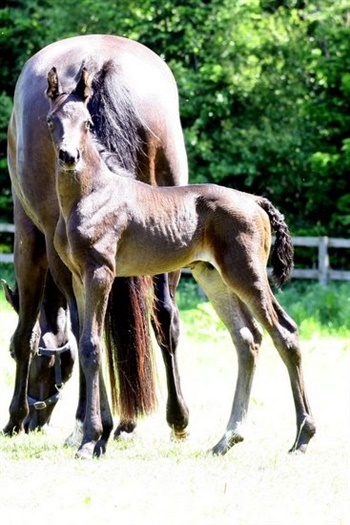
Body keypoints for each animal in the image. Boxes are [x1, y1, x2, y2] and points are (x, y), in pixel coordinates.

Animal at [3, 34, 189, 442]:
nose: (34, 421)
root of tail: (103, 59)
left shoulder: (30, 242)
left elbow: (27, 333)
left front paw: (16, 416)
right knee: (165, 315)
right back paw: (176, 418)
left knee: (83, 322)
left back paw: (93, 423)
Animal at [43, 66, 314, 458]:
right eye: (52, 121)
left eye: (88, 122)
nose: (68, 156)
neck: (92, 195)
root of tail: (255, 201)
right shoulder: (79, 276)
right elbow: (85, 343)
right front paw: (94, 437)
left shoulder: (100, 272)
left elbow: (93, 344)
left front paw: (91, 440)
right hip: (213, 276)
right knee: (247, 338)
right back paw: (227, 438)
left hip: (246, 274)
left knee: (285, 332)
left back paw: (302, 436)